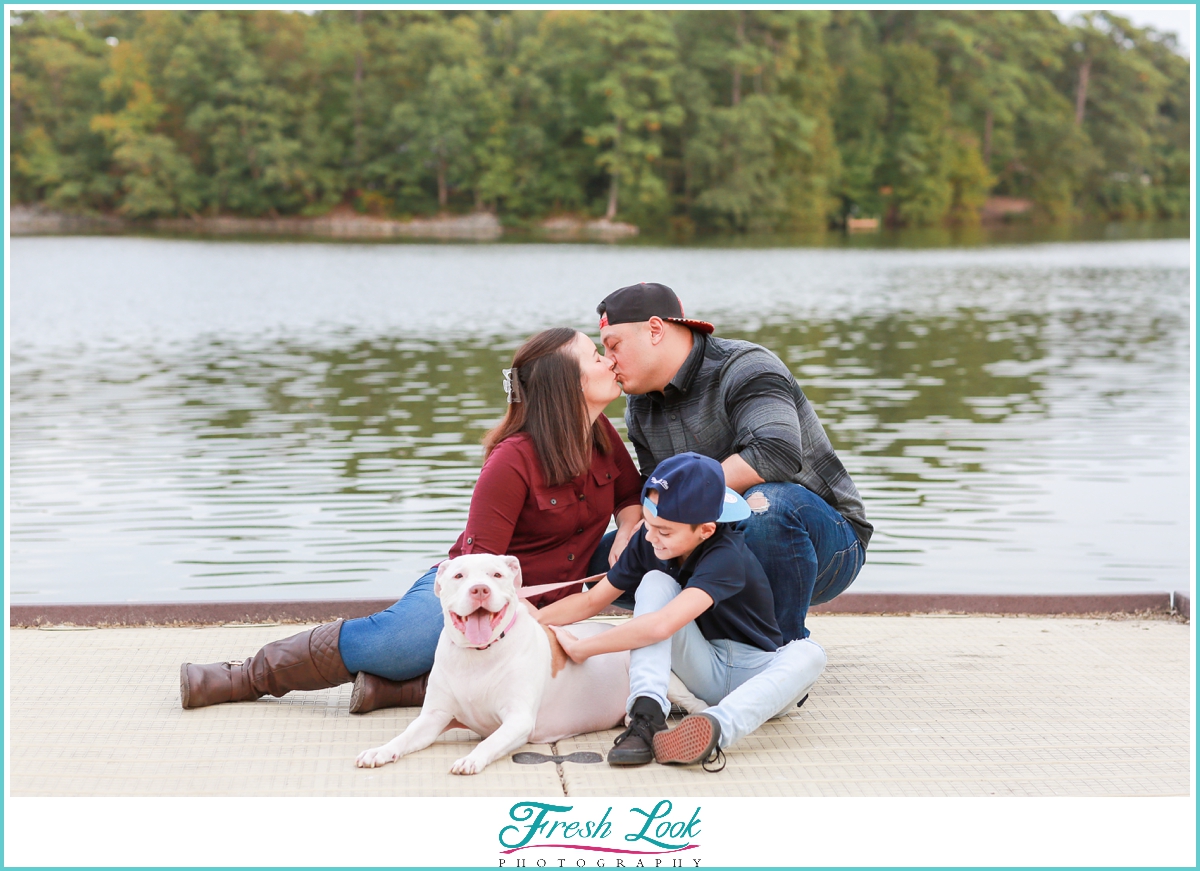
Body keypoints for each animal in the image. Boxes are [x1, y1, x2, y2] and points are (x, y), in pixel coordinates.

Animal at [350, 556, 628, 772]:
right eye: (459, 575)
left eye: (497, 574)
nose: (480, 589)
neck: (478, 653)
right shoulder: (434, 717)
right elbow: (404, 735)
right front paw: (379, 751)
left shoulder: (518, 719)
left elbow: (490, 742)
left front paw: (471, 759)